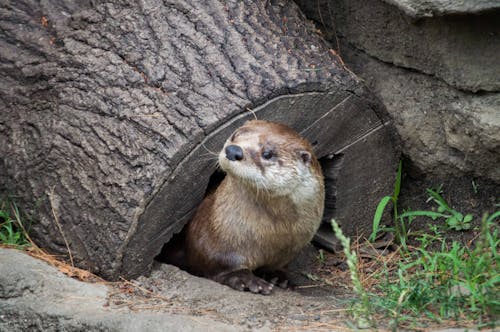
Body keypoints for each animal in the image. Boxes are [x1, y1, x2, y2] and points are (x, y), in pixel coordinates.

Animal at [170, 120, 324, 296]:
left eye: (267, 153)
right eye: (235, 134)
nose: (233, 150)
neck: (272, 235)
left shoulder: (291, 247)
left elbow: (278, 265)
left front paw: (278, 276)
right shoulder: (209, 232)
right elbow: (213, 260)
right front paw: (245, 278)